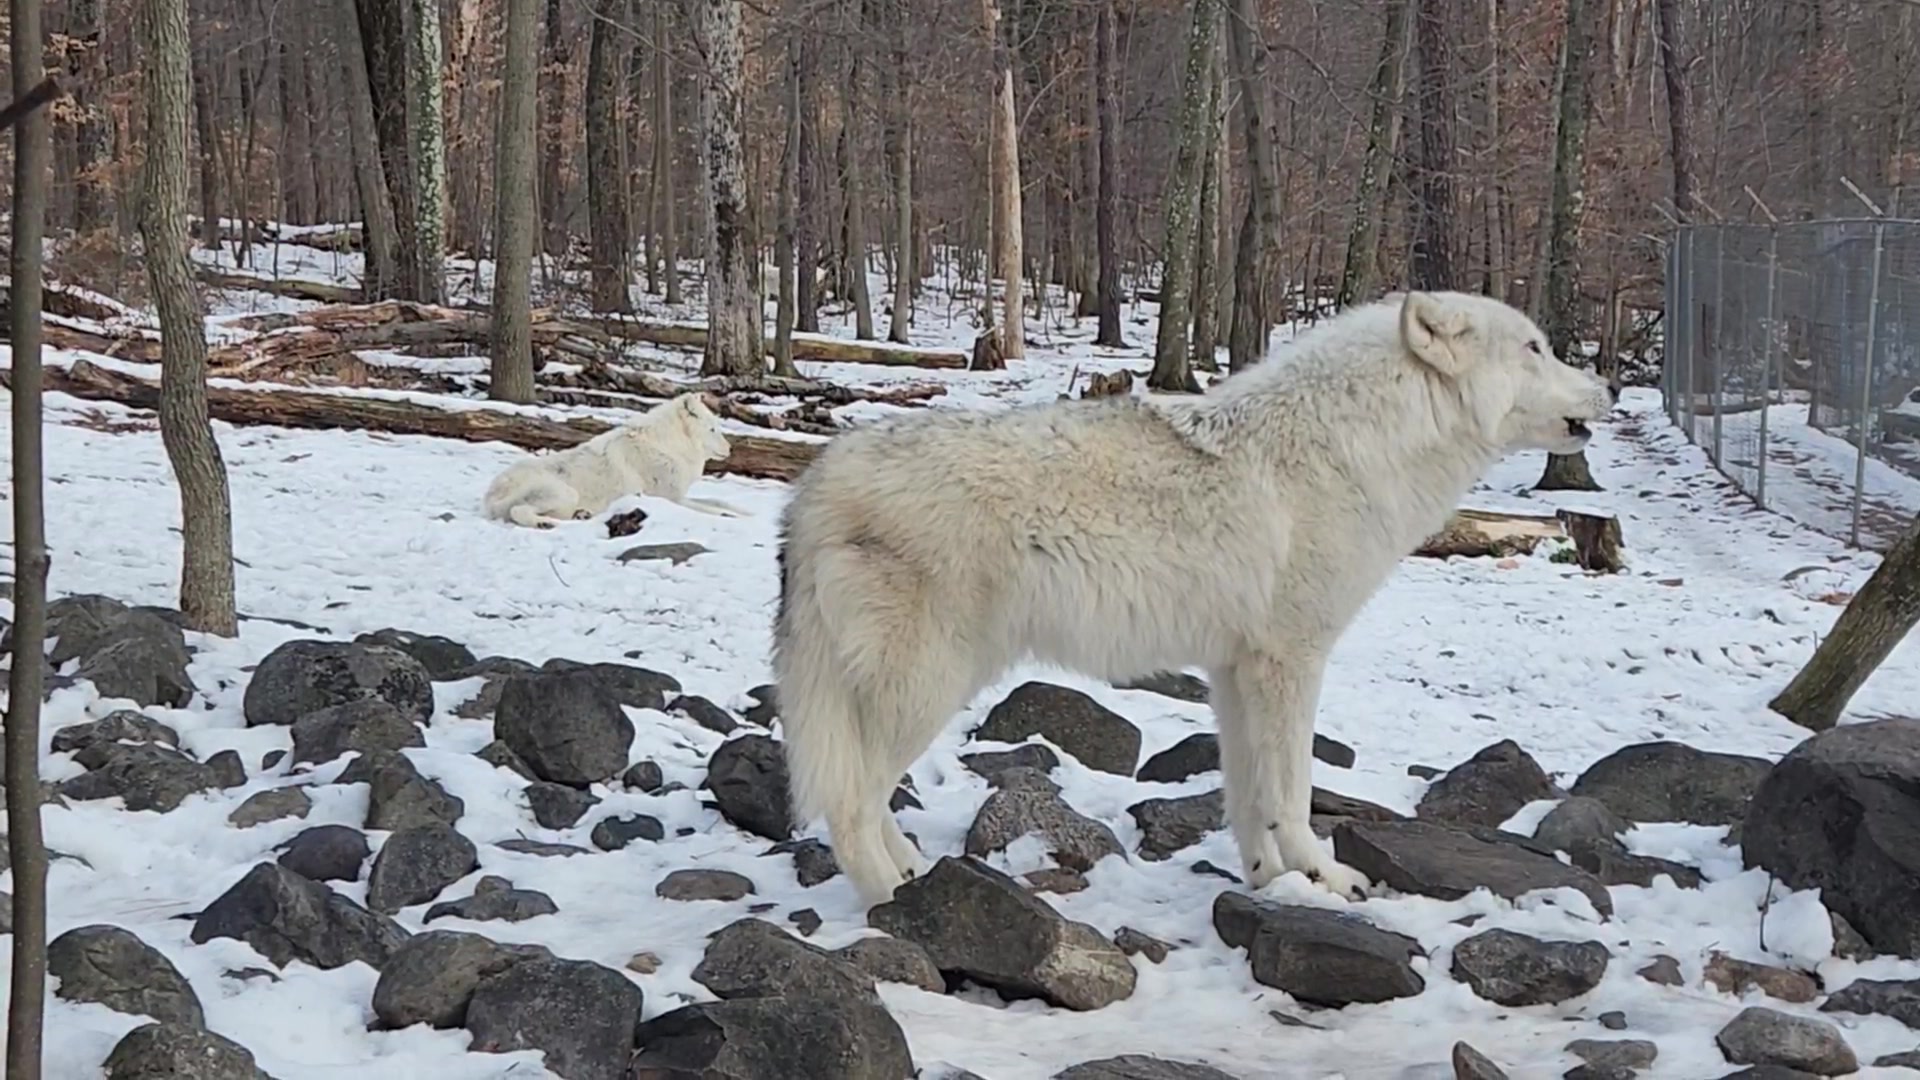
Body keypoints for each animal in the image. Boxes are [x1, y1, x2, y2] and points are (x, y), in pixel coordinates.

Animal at [482, 392, 746, 528]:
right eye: (712, 429)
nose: (731, 448)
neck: (668, 446)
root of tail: (490, 495)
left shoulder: (680, 496)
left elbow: (721, 502)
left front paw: (745, 513)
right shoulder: (672, 499)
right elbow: (713, 510)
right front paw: (731, 518)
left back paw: (580, 516)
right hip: (563, 493)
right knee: (519, 511)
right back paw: (547, 524)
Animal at [770, 290, 1618, 907]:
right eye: (1536, 348)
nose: (1610, 385)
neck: (1356, 448)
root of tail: (814, 483)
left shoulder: (1234, 672)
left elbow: (1248, 796)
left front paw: (1269, 879)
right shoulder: (1291, 662)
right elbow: (1296, 793)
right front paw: (1327, 878)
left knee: (865, 796)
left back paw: (912, 869)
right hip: (929, 687)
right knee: (850, 802)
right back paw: (890, 899)